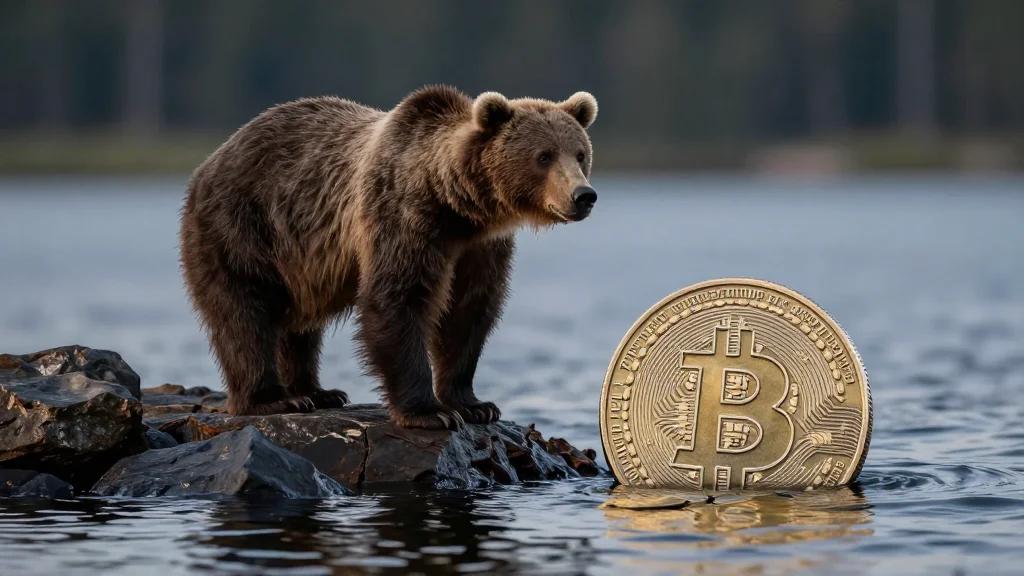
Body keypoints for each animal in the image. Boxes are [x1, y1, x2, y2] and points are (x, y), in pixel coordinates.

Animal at [179, 86, 598, 429]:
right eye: (543, 156)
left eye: (579, 154)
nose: (584, 195)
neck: (457, 206)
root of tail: (211, 160)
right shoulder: (402, 216)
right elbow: (398, 300)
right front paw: (430, 412)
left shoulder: (481, 247)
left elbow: (469, 311)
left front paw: (475, 404)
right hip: (242, 226)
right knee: (245, 313)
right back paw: (274, 399)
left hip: (298, 260)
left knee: (299, 326)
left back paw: (317, 391)